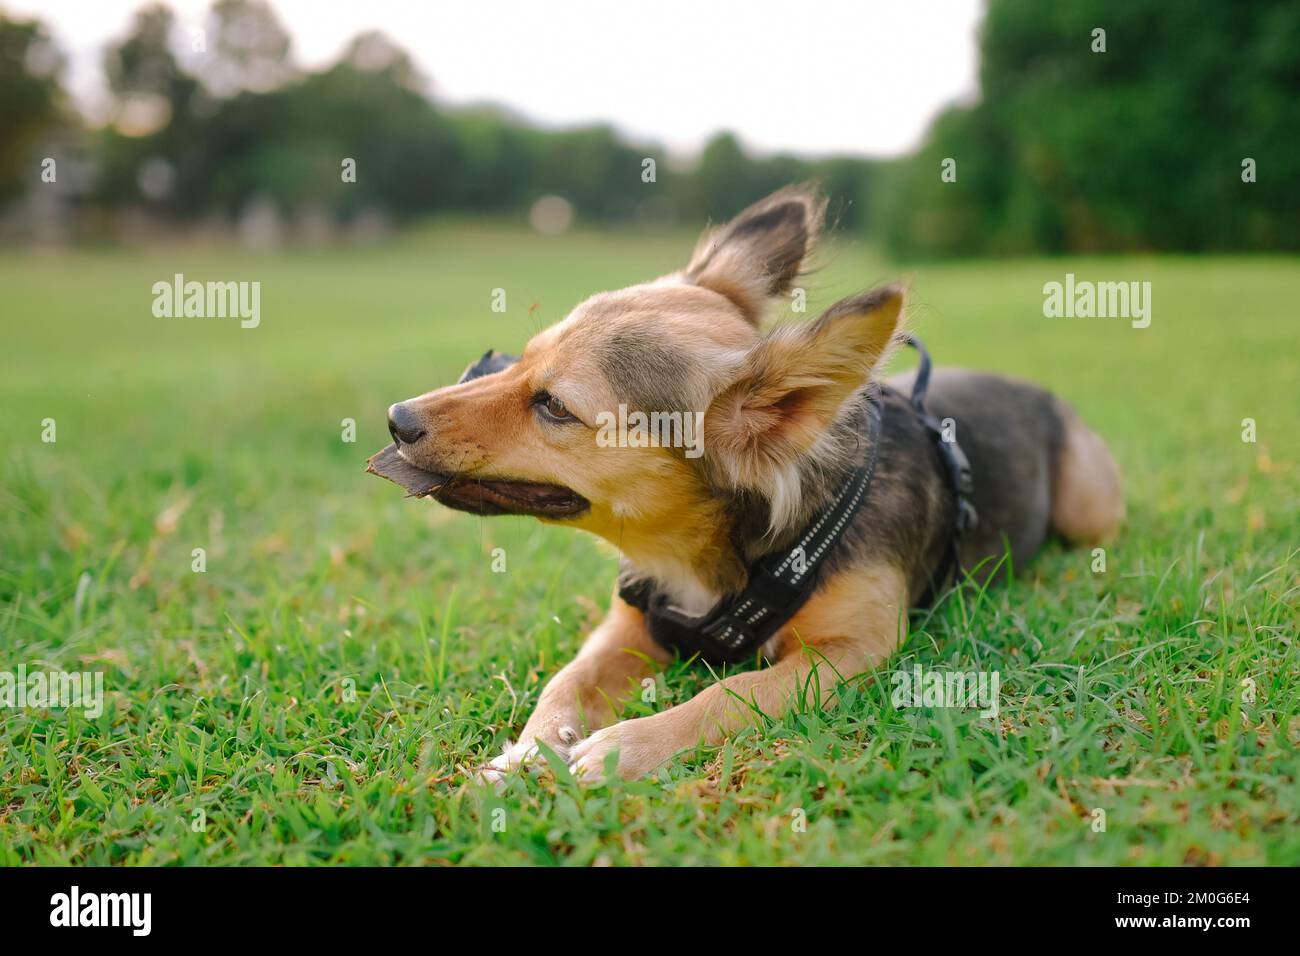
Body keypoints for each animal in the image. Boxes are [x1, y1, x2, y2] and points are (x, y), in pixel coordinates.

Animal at [369, 183, 1128, 780]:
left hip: (1090, 511)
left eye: (554, 405)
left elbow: (729, 695)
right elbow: (564, 683)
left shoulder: (851, 651)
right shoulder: (625, 626)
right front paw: (527, 754)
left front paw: (623, 749)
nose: (396, 419)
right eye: (516, 361)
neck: (699, 560)